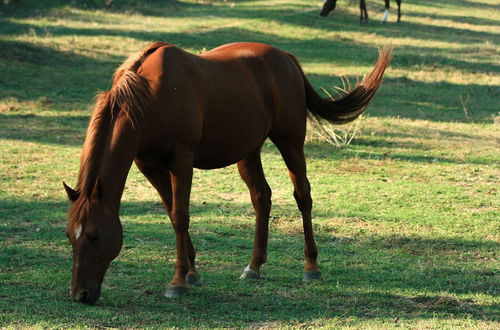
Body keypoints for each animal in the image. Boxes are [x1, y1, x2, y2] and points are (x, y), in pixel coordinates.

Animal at [62, 41, 392, 304]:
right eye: (69, 236)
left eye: (93, 236)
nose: (80, 295)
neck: (149, 95)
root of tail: (286, 58)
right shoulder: (149, 165)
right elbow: (171, 212)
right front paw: (192, 272)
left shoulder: (181, 162)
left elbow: (180, 216)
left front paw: (178, 282)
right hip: (248, 152)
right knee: (262, 197)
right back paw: (254, 267)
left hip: (290, 141)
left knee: (303, 196)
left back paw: (311, 267)